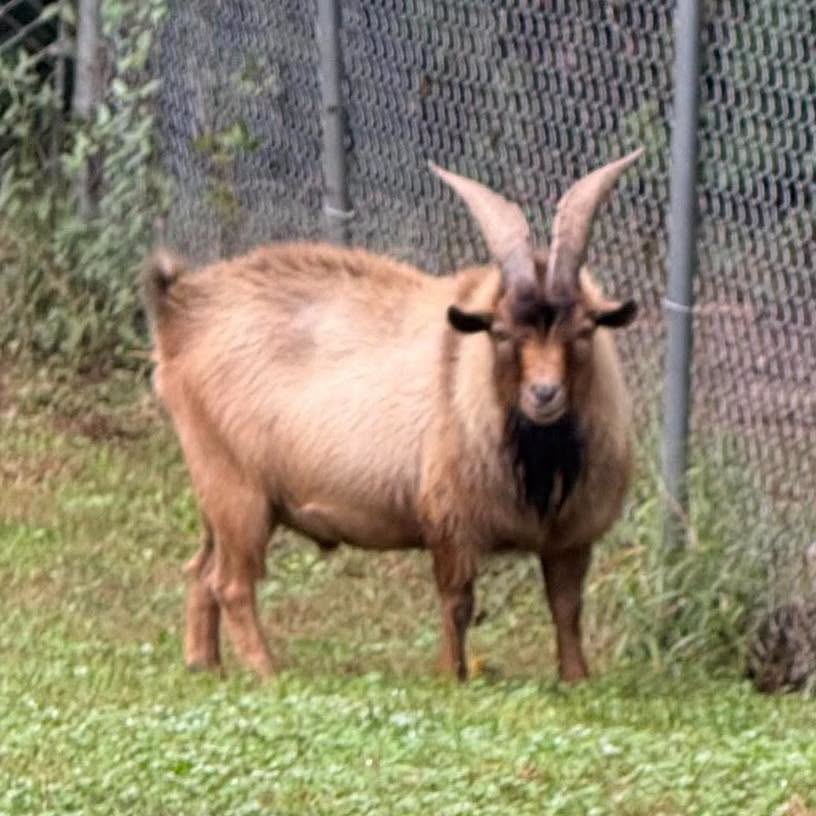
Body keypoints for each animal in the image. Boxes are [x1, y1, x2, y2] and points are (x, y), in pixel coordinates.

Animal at [142, 150, 642, 682]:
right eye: (502, 333)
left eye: (585, 330)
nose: (544, 394)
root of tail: (180, 313)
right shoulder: (450, 522)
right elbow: (457, 604)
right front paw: (451, 676)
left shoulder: (571, 537)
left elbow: (566, 608)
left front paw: (576, 678)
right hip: (237, 490)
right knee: (232, 584)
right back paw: (267, 673)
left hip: (216, 493)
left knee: (201, 571)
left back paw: (204, 663)